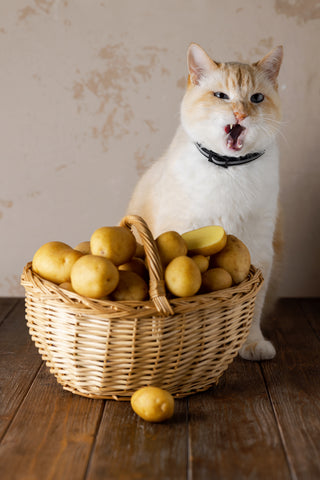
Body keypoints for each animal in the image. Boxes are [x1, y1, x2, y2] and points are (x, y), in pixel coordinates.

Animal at [126, 43, 284, 360]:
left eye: (256, 99)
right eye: (221, 96)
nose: (240, 113)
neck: (230, 169)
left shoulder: (259, 249)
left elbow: (254, 308)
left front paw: (252, 344)